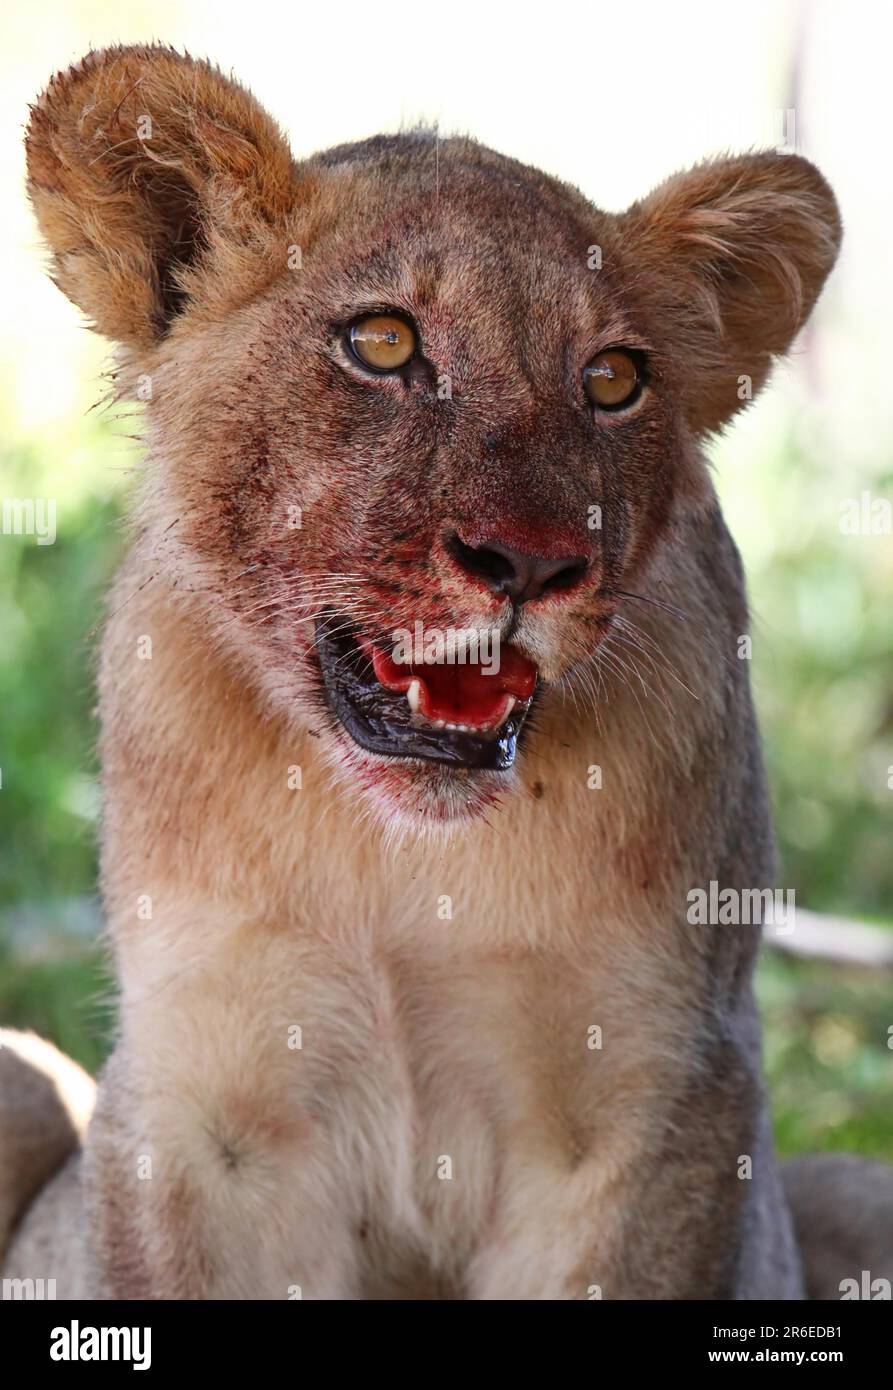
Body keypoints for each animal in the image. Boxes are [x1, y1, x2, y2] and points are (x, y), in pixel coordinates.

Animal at [3, 46, 884, 1301]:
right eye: (380, 343)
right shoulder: (195, 1101)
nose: (531, 562)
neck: (396, 862)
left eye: (612, 378)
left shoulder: (657, 1099)